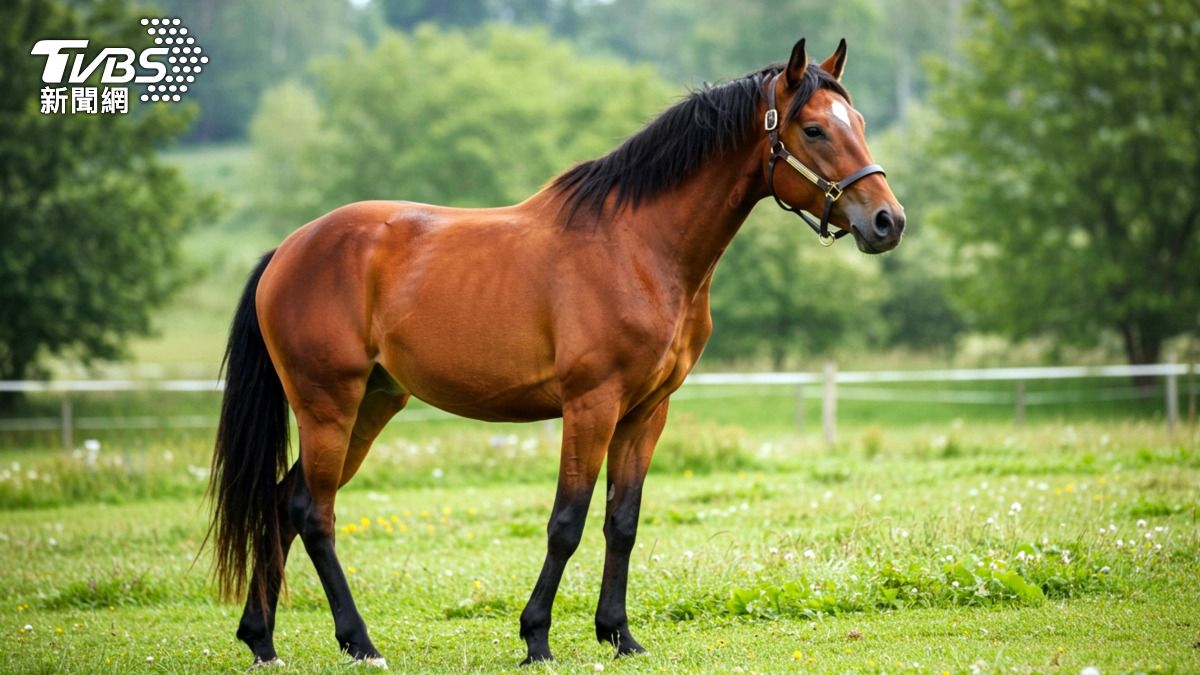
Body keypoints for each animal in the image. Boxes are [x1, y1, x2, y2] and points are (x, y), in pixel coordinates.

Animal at [206, 37, 904, 668]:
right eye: (813, 129)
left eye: (862, 125)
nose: (887, 222)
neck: (638, 245)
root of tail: (288, 250)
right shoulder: (591, 406)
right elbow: (566, 521)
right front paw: (536, 637)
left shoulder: (646, 411)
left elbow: (622, 521)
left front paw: (619, 635)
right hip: (329, 405)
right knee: (313, 513)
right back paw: (359, 642)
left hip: (373, 405)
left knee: (282, 504)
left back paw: (262, 640)